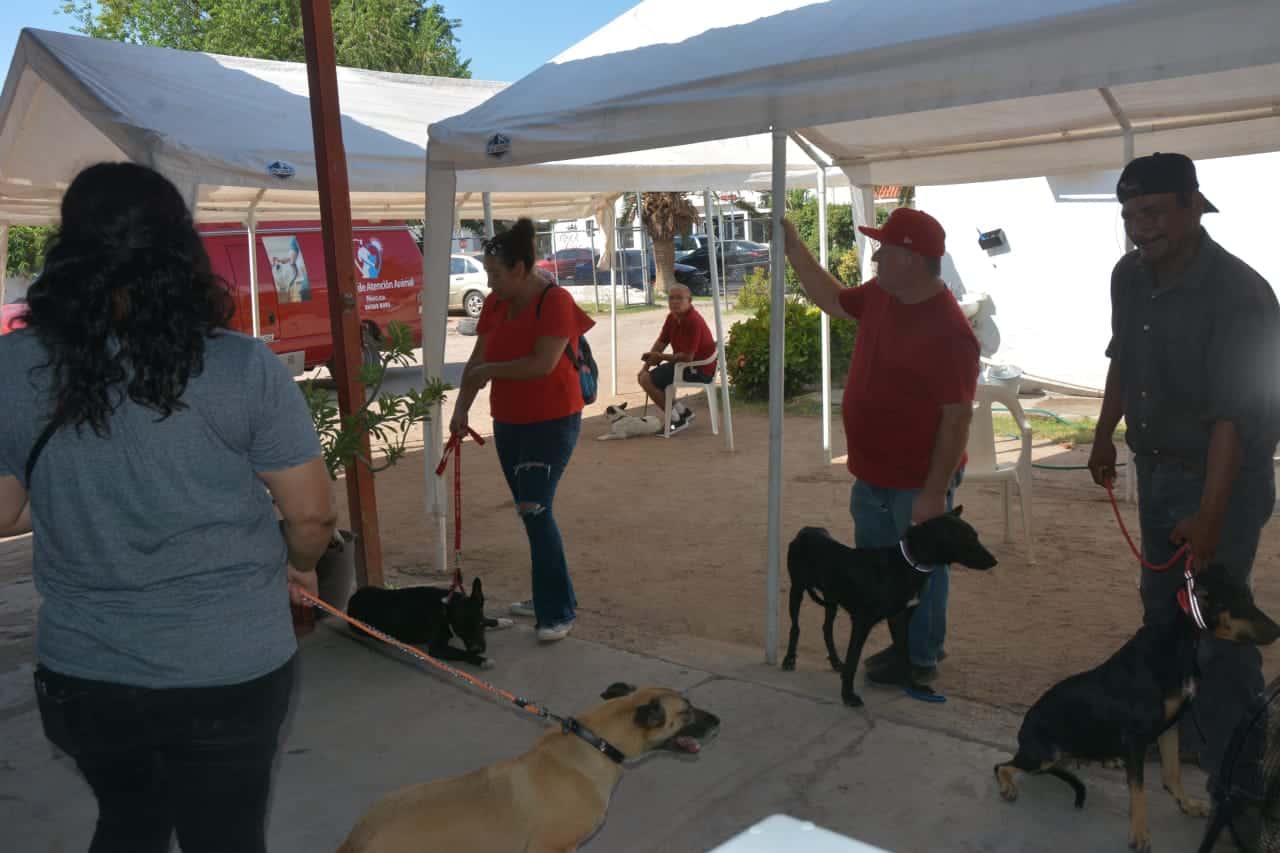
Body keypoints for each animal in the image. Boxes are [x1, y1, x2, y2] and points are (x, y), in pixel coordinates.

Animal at [345, 578, 488, 666]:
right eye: (461, 629)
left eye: (480, 624)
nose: (478, 649)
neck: (446, 611)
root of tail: (351, 599)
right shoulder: (436, 648)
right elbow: (460, 652)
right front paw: (481, 660)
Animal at [778, 507, 998, 706]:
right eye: (969, 539)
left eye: (976, 536)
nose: (994, 561)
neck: (906, 565)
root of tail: (806, 530)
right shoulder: (862, 622)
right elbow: (853, 660)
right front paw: (848, 696)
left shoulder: (900, 619)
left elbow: (905, 657)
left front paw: (913, 686)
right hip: (797, 590)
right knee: (795, 627)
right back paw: (789, 659)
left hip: (831, 599)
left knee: (826, 629)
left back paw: (835, 661)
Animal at [998, 563, 1280, 850]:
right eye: (1239, 603)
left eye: (1250, 599)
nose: (1278, 630)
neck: (1176, 643)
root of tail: (1023, 732)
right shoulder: (1136, 739)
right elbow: (1139, 792)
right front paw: (1139, 834)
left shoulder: (1170, 726)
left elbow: (1173, 773)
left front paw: (1186, 804)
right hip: (1044, 754)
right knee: (1003, 766)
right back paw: (1008, 786)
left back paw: (1106, 759)